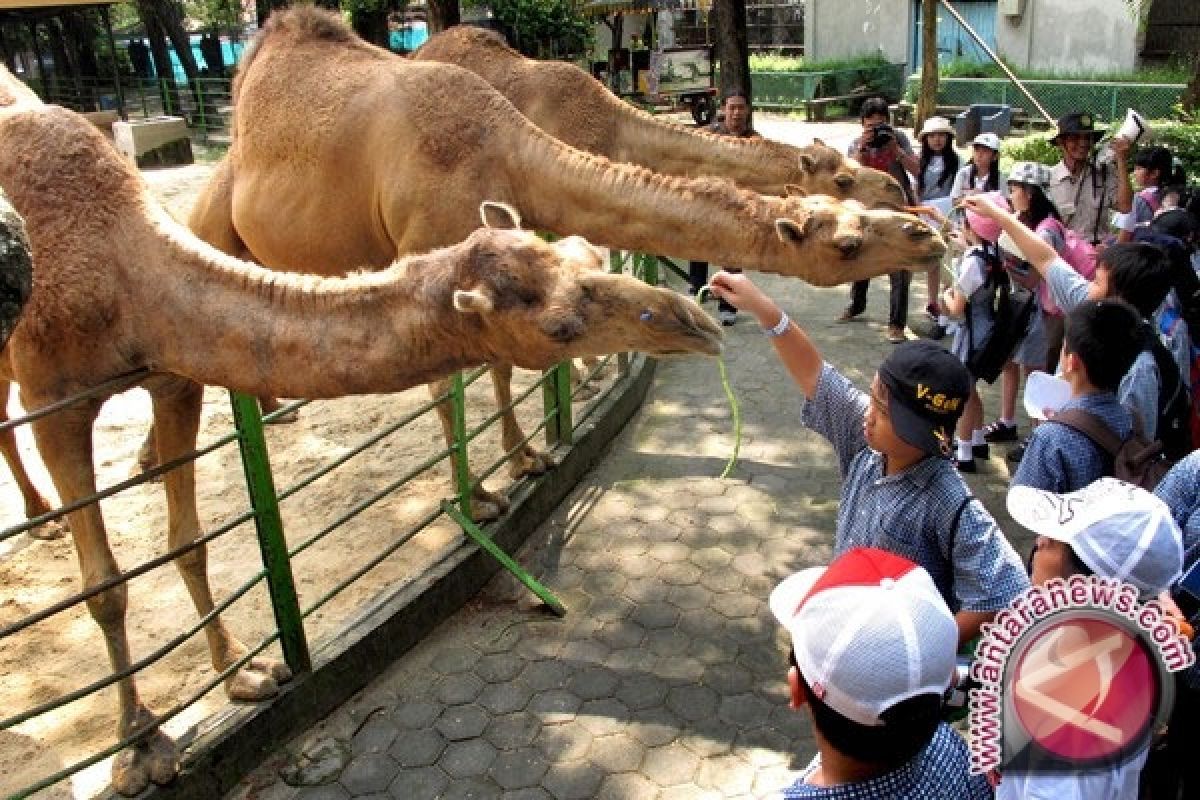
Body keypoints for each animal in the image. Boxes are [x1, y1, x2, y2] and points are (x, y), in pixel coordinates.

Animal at [0, 68, 720, 796]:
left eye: (584, 259)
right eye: (561, 326)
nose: (698, 321)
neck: (122, 270)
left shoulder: (175, 376)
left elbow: (191, 540)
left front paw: (246, 672)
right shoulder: (55, 403)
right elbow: (104, 585)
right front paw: (143, 747)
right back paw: (46, 518)